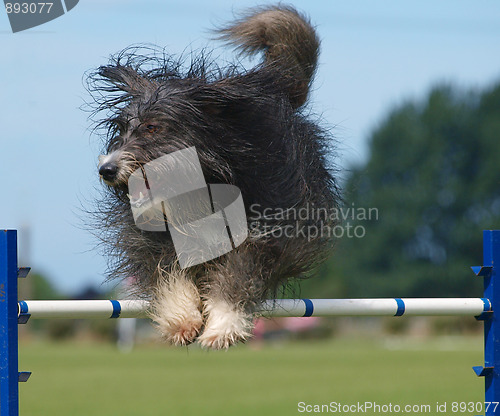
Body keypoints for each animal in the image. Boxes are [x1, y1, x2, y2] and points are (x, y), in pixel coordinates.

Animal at [89, 4, 340, 350]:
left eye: (152, 127)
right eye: (122, 129)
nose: (107, 170)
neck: (202, 188)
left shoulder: (264, 232)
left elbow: (237, 278)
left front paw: (221, 327)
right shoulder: (159, 238)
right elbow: (169, 274)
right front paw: (182, 320)